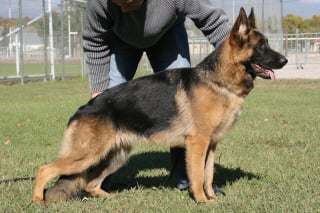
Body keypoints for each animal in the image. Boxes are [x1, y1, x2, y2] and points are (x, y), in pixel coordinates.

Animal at [31, 7, 288, 205]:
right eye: (261, 46)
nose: (285, 60)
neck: (218, 81)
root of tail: (84, 108)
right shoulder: (197, 144)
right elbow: (197, 176)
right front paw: (202, 201)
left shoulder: (211, 144)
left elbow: (208, 174)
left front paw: (212, 197)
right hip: (86, 155)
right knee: (44, 169)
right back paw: (37, 201)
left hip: (115, 156)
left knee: (91, 183)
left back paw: (109, 198)